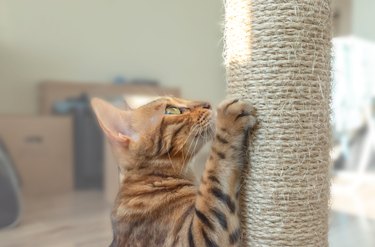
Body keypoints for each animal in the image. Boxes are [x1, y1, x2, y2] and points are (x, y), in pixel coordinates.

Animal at [91, 96, 258, 247]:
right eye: (171, 110)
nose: (207, 104)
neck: (155, 178)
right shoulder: (196, 236)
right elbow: (214, 173)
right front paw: (227, 118)